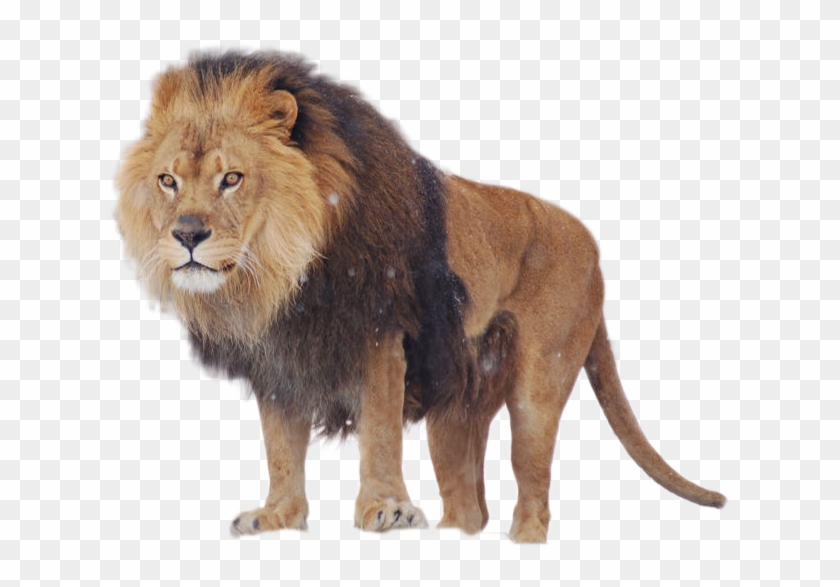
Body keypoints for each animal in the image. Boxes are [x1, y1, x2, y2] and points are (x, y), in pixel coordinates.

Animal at [115, 51, 725, 543]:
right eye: (169, 181)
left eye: (232, 179)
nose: (187, 235)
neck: (283, 275)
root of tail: (594, 247)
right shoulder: (279, 359)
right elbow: (281, 447)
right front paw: (278, 517)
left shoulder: (380, 335)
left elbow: (381, 430)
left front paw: (386, 511)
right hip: (454, 412)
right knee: (468, 503)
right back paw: (457, 539)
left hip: (540, 383)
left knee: (533, 480)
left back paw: (523, 545)